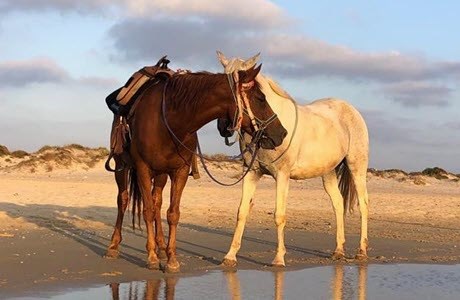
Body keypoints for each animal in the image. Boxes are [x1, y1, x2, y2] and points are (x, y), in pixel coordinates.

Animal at [104, 62, 288, 272]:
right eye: (261, 98)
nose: (282, 133)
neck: (170, 121)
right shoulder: (142, 168)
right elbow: (147, 211)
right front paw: (151, 257)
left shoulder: (180, 172)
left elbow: (172, 213)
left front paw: (171, 259)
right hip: (122, 166)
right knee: (123, 200)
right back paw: (114, 246)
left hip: (160, 175)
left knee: (157, 201)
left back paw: (160, 246)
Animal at [217, 52, 370, 268]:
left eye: (259, 96)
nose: (223, 126)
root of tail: (351, 110)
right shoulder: (252, 173)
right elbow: (242, 212)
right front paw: (230, 257)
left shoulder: (282, 175)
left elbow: (279, 215)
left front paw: (279, 258)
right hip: (328, 172)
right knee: (338, 204)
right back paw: (338, 251)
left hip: (357, 166)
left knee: (363, 204)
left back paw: (362, 251)